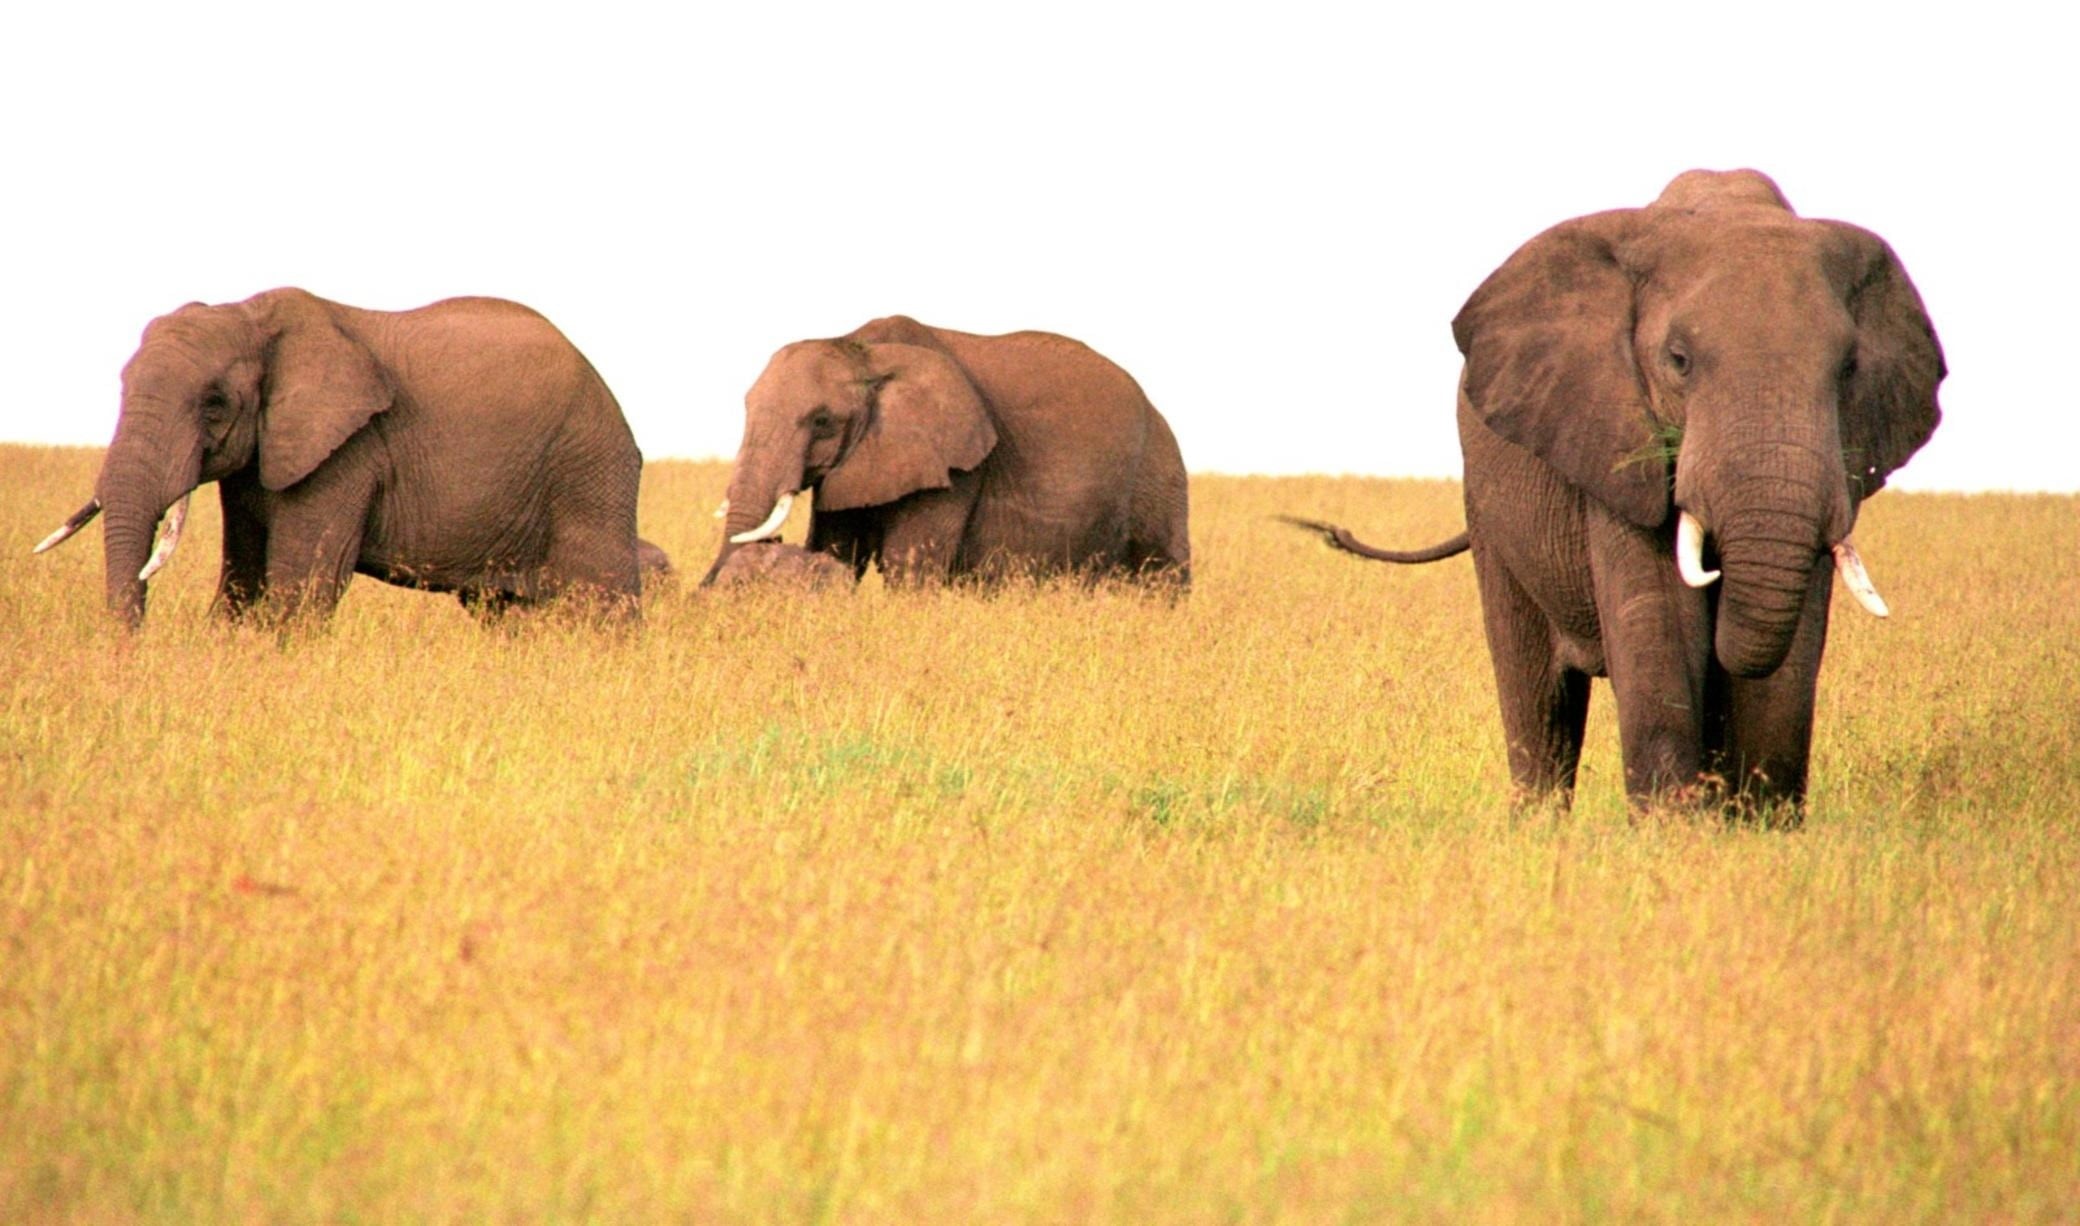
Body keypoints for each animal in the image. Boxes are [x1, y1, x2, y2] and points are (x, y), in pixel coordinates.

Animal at [34, 288, 657, 627]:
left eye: (214, 404)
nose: (130, 648)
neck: (252, 315)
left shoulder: (348, 453)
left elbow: (303, 588)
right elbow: (242, 578)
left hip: (586, 465)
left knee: (603, 603)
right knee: (506, 614)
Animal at [703, 315, 1190, 588]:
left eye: (822, 421)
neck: (861, 349)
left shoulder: (955, 467)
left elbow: (909, 566)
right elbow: (839, 550)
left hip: (1157, 471)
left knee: (1161, 574)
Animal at [1288, 170, 1944, 815]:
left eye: (1849, 369)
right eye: (1678, 360)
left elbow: (1789, 656)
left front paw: (1760, 827)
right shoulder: (1613, 445)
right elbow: (1660, 626)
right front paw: (1671, 828)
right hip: (1488, 506)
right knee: (1537, 694)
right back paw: (1538, 825)